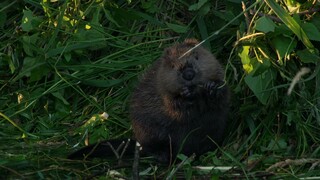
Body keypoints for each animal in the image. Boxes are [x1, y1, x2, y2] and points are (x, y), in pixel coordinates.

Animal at [67, 39, 229, 163]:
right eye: (172, 65)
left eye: (196, 57)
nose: (188, 74)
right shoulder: (161, 89)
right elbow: (175, 108)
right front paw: (186, 94)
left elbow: (222, 97)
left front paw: (211, 87)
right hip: (146, 133)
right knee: (152, 148)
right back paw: (164, 156)